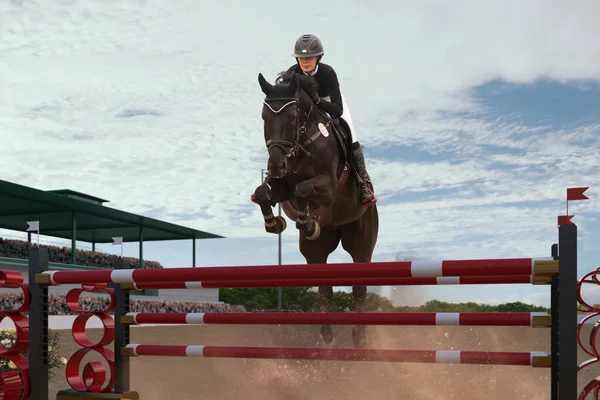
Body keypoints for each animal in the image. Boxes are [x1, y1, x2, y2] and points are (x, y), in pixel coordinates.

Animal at [251, 70, 378, 348]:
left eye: (293, 116)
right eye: (264, 117)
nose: (275, 166)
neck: (302, 144)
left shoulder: (328, 185)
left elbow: (303, 189)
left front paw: (306, 219)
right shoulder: (281, 185)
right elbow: (263, 193)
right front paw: (275, 223)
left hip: (361, 244)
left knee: (359, 288)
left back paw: (359, 337)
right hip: (316, 250)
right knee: (324, 287)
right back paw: (327, 336)